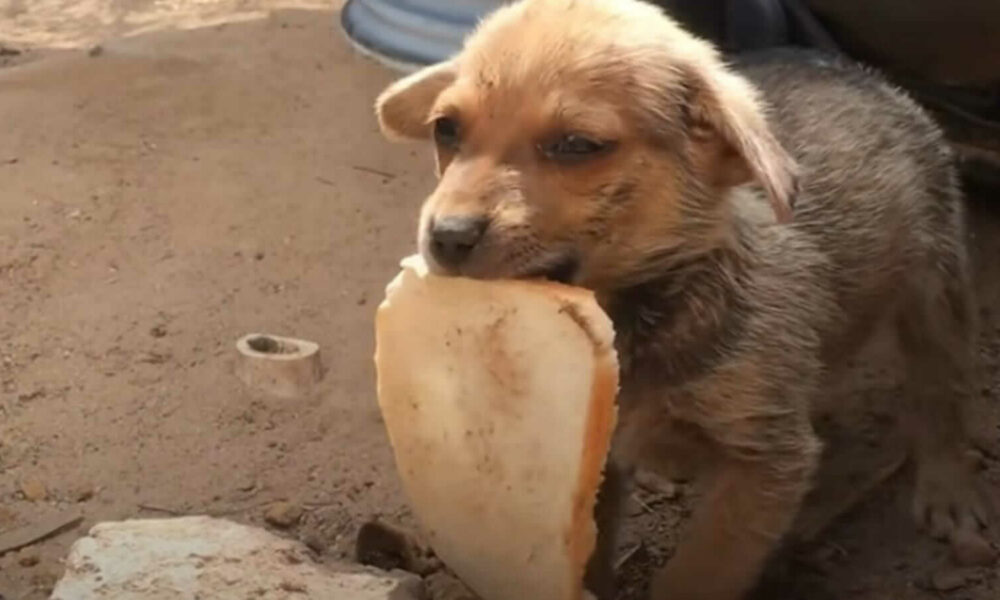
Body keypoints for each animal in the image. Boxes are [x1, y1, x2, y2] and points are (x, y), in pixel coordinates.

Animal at [374, 1, 992, 600]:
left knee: (939, 390)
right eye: (446, 130)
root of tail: (851, 70)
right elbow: (590, 545)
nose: (446, 237)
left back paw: (948, 487)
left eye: (576, 146)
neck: (638, 309)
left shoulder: (764, 461)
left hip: (935, 284)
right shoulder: (593, 453)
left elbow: (698, 573)